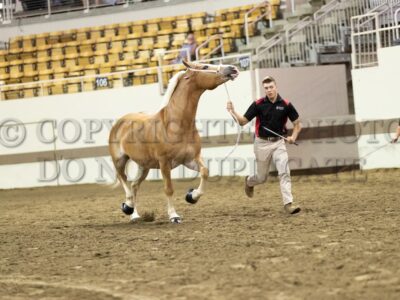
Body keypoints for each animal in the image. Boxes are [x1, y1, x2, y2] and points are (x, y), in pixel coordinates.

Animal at [108, 59, 239, 223]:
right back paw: (128, 206)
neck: (176, 125)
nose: (232, 68)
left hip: (144, 166)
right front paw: (174, 216)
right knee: (123, 180)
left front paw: (192, 196)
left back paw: (135, 215)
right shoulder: (164, 163)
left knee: (134, 185)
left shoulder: (190, 159)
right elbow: (169, 189)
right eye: (205, 66)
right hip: (120, 160)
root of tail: (120, 122)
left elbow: (205, 172)